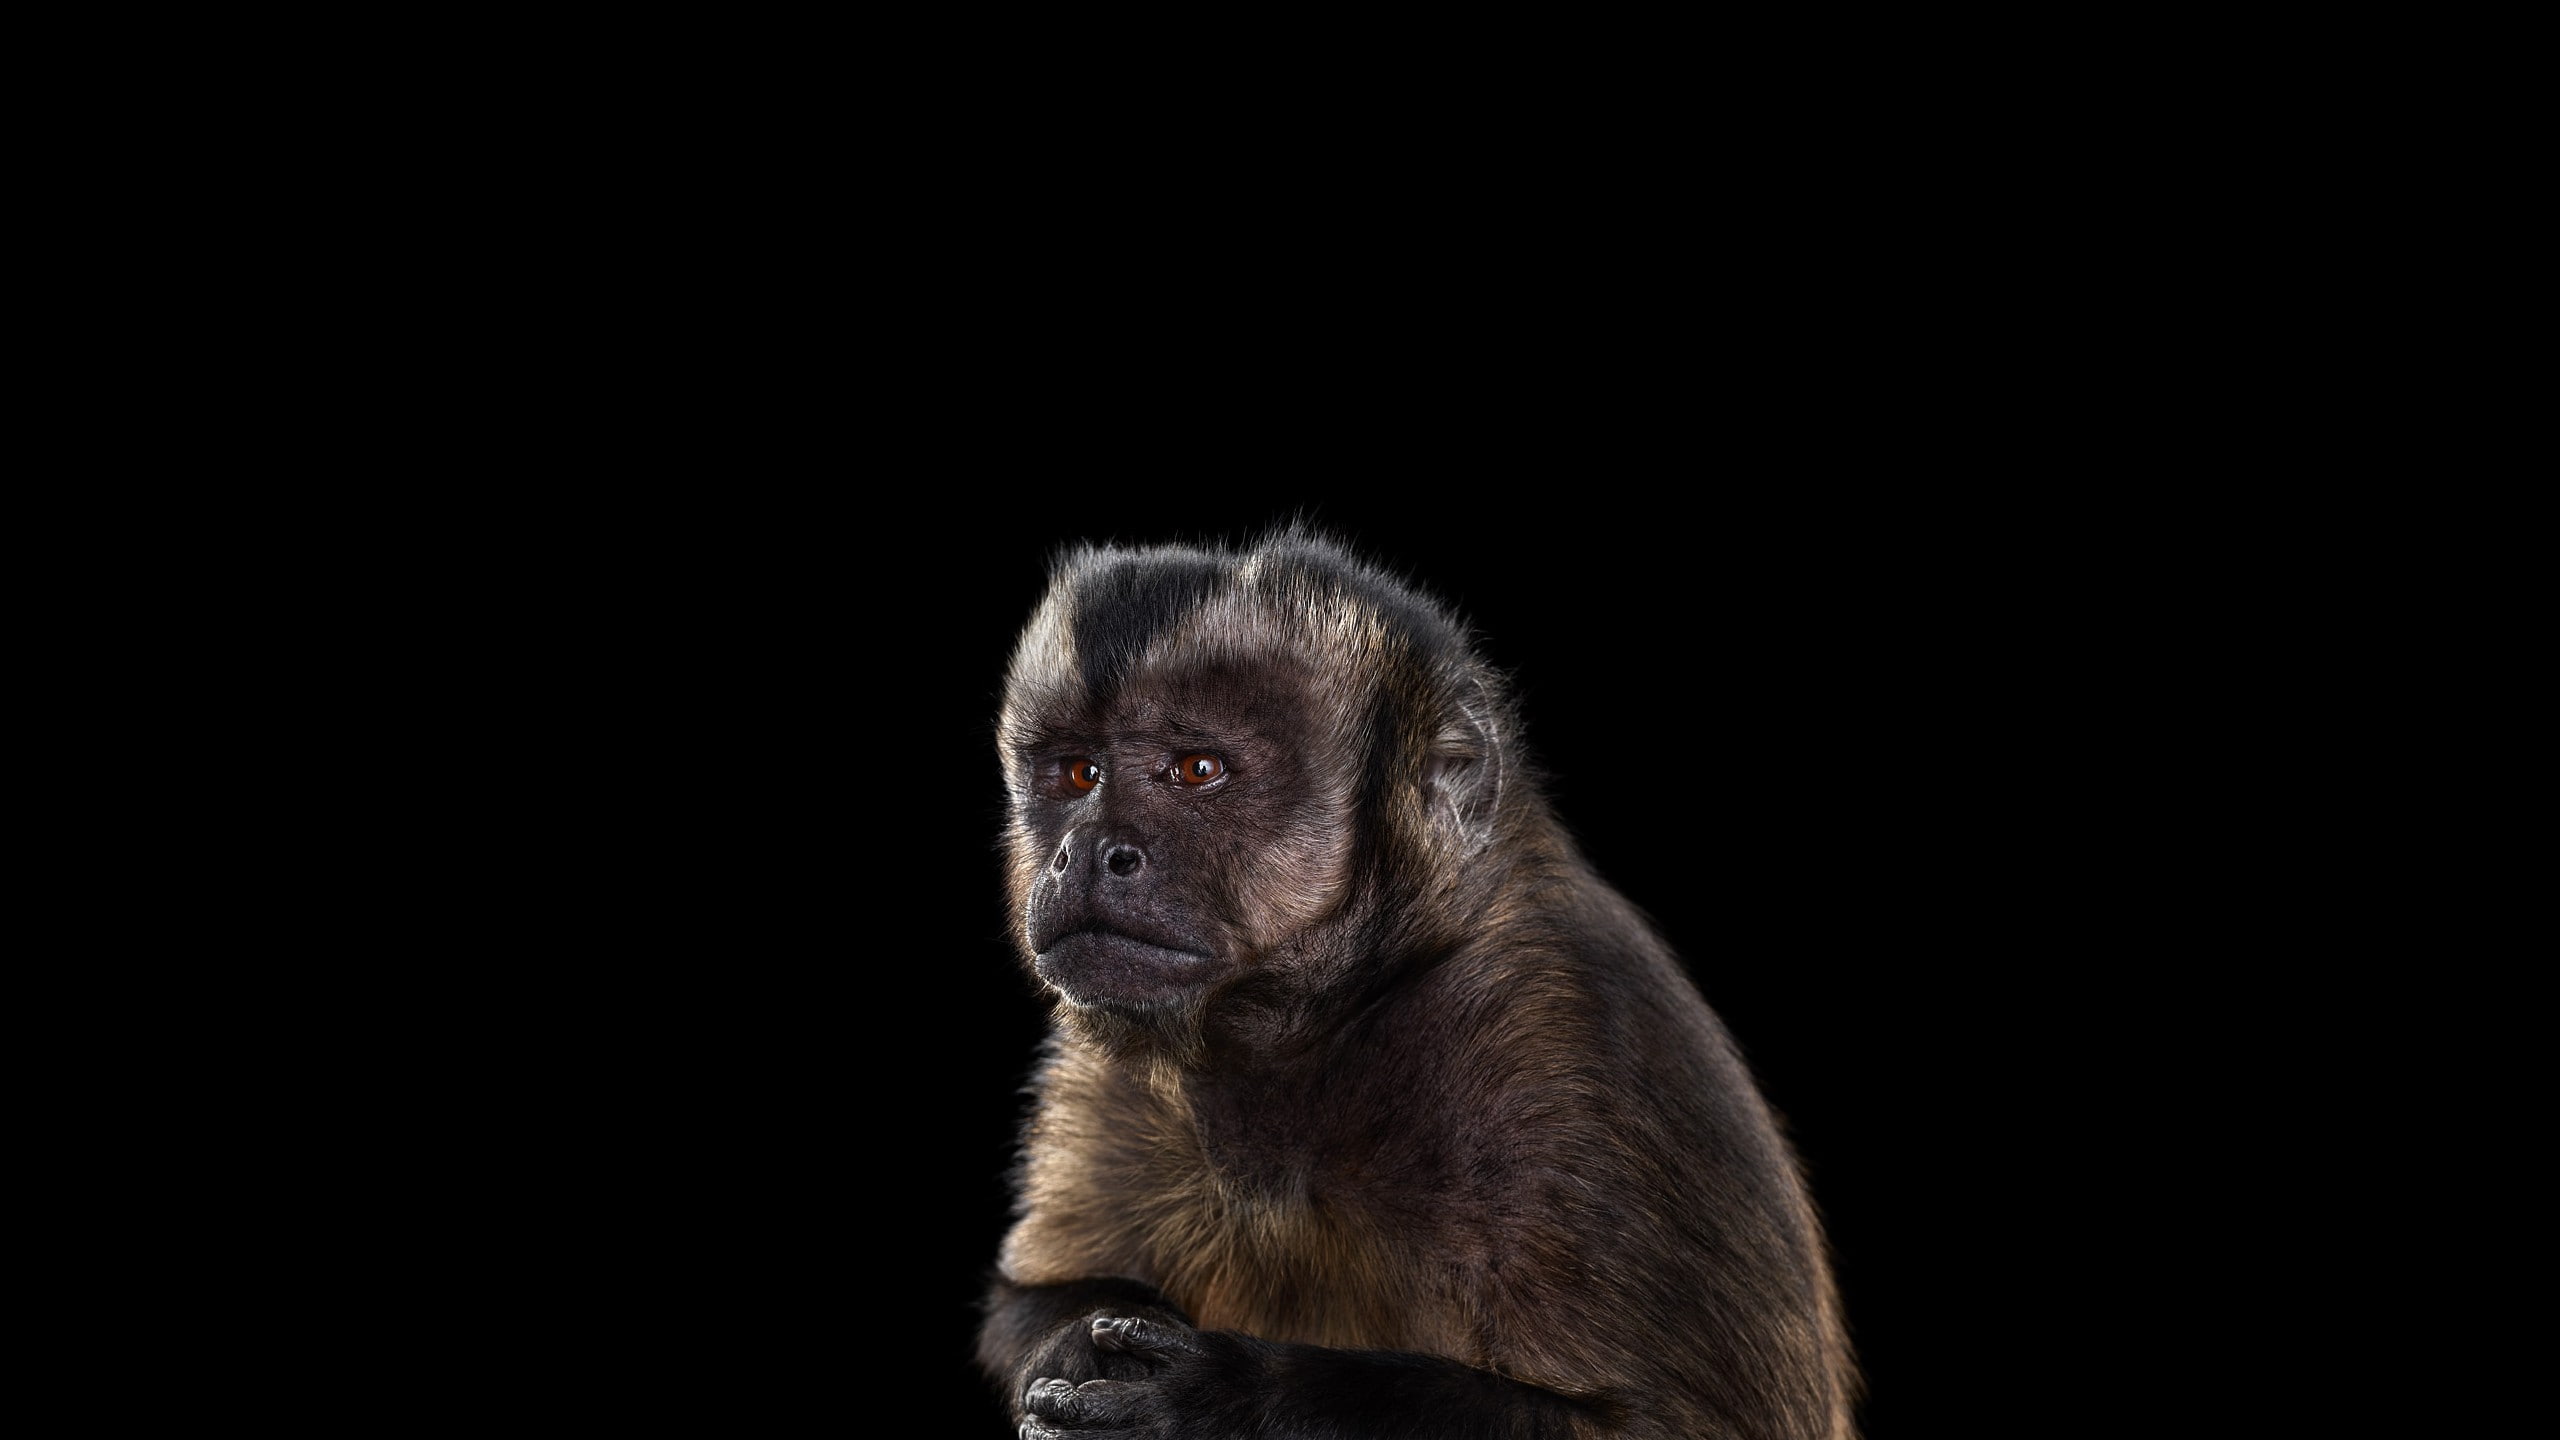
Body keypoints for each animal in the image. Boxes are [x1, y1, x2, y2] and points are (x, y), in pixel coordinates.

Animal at [977, 529, 1856, 1439]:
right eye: (1078, 775)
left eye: (1197, 769)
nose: (1085, 851)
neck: (1325, 1025)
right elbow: (1023, 1306)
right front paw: (1071, 1341)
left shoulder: (1570, 1048)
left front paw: (1216, 1397)